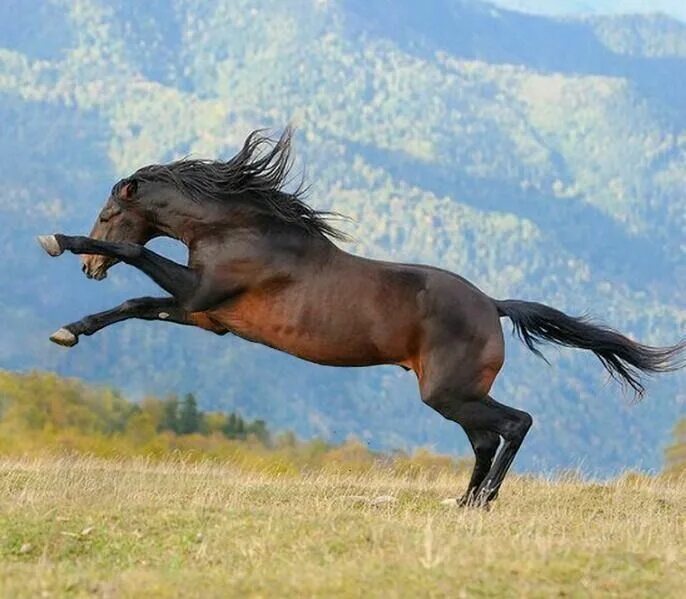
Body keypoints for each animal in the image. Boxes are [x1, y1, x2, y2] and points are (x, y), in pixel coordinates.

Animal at [39, 126, 686, 506]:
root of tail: (492, 305)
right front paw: (69, 331)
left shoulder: (198, 292)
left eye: (106, 214)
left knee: (515, 423)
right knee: (486, 437)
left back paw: (483, 501)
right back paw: (465, 502)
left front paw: (57, 242)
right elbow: (134, 306)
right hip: (452, 394)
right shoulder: (205, 315)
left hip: (449, 392)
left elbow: (138, 257)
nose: (89, 268)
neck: (241, 228)